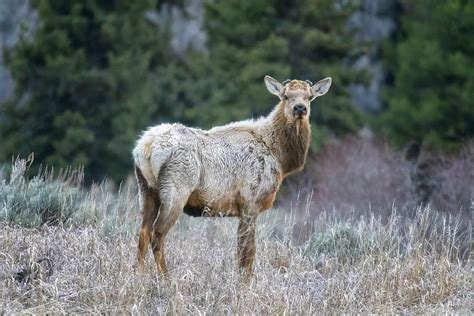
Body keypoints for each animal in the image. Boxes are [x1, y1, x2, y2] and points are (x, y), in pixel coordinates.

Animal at [133, 74, 332, 276]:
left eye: (309, 97)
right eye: (285, 96)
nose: (300, 108)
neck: (280, 158)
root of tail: (144, 148)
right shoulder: (250, 201)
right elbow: (247, 255)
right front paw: (244, 281)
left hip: (146, 191)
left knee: (143, 233)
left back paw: (140, 274)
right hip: (176, 189)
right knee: (157, 234)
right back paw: (166, 277)